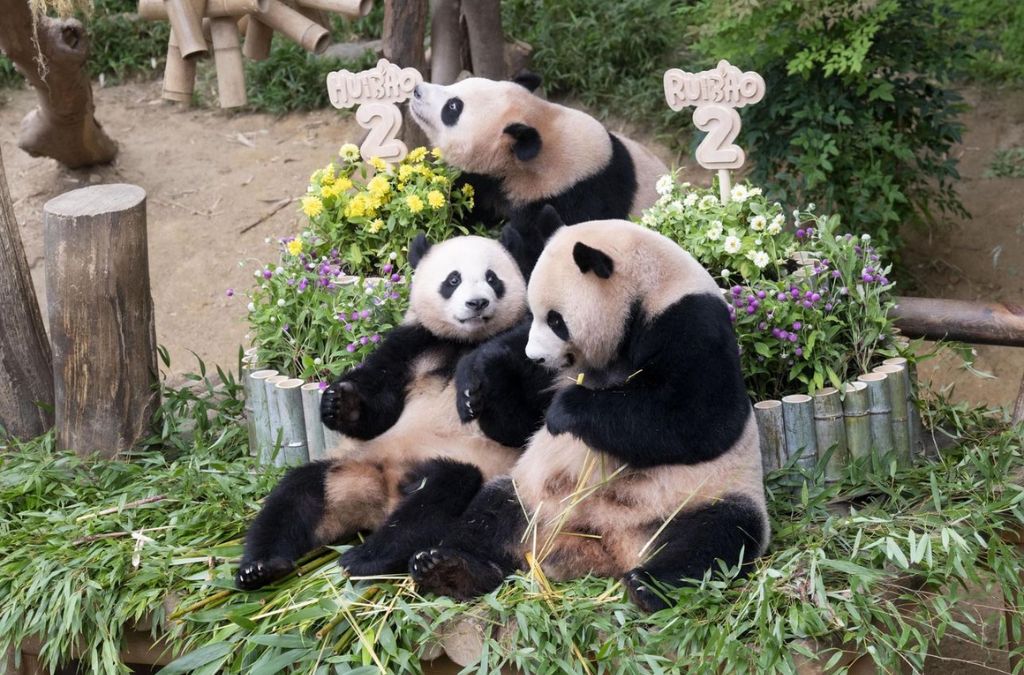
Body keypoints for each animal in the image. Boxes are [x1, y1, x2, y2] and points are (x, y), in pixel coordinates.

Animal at [236, 234, 537, 590]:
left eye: (493, 278)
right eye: (453, 279)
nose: (477, 303)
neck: (464, 341)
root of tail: (381, 497)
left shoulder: (527, 345)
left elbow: (520, 420)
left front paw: (478, 390)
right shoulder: (412, 343)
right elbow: (379, 406)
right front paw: (340, 402)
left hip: (462, 465)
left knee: (439, 498)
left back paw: (374, 560)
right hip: (350, 464)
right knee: (295, 495)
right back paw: (261, 566)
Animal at [408, 218, 770, 612]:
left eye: (556, 320)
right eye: (532, 315)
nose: (536, 356)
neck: (647, 296)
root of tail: (607, 548)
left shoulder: (691, 322)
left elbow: (699, 418)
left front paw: (566, 410)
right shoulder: (548, 373)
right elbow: (517, 423)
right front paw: (476, 385)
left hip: (701, 498)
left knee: (717, 537)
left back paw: (649, 585)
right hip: (534, 501)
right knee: (491, 512)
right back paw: (450, 569)